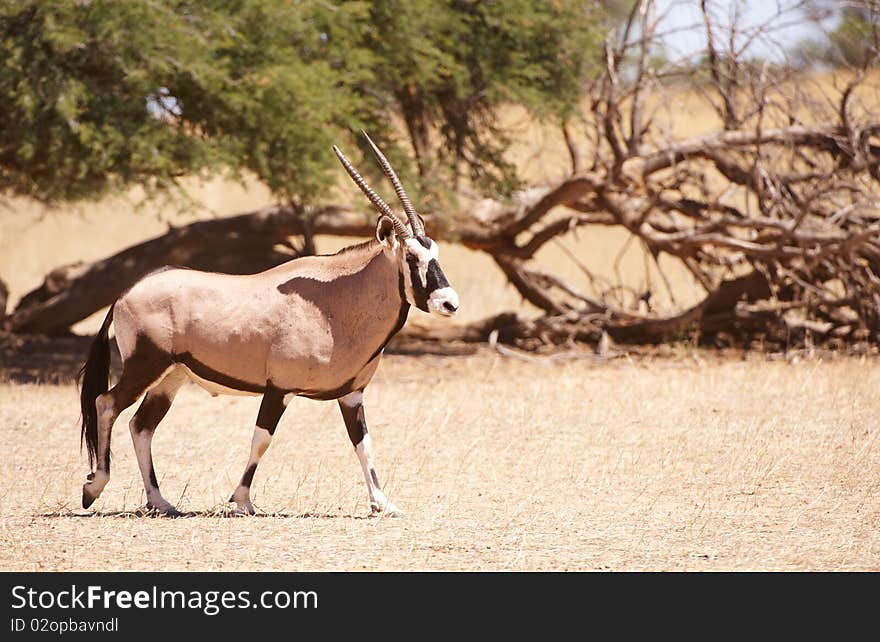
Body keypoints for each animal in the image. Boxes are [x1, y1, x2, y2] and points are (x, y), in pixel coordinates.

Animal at [79, 134, 460, 516]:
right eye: (411, 257)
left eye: (436, 253)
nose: (449, 302)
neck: (337, 300)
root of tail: (126, 293)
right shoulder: (280, 388)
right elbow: (261, 440)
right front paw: (242, 500)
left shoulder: (351, 395)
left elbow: (364, 444)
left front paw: (382, 502)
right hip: (144, 366)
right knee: (107, 404)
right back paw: (94, 487)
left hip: (170, 378)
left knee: (141, 426)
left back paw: (159, 500)